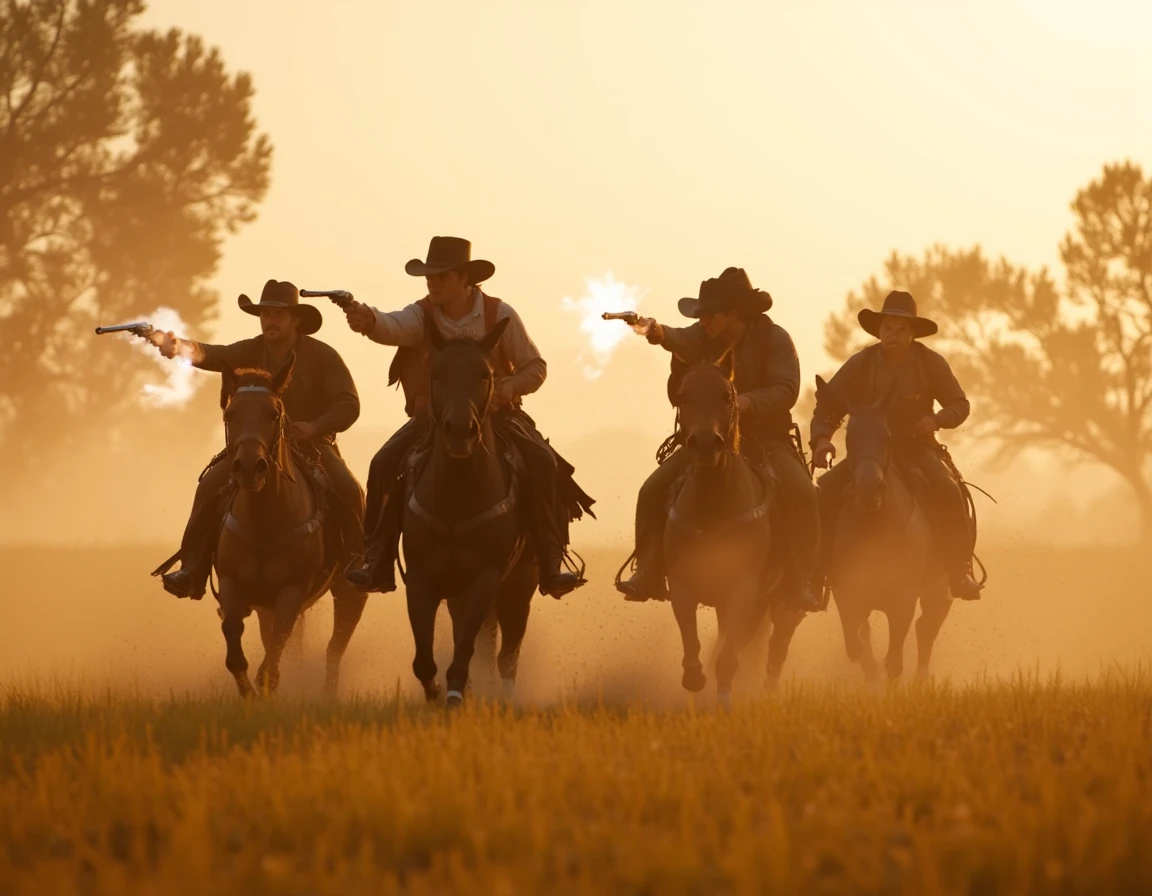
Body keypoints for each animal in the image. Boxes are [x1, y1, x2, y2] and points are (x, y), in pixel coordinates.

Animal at [213, 357, 364, 700]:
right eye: (230, 414)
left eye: (273, 413)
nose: (249, 468)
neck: (265, 524)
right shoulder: (232, 585)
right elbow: (234, 641)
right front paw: (249, 695)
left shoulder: (291, 594)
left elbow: (271, 662)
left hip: (349, 594)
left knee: (335, 646)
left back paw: (328, 695)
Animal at [398, 317, 536, 709]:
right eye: (437, 373)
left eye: (485, 375)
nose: (460, 430)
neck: (456, 499)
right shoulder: (422, 577)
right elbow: (424, 657)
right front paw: (434, 691)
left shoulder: (486, 579)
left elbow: (466, 651)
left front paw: (456, 693)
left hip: (519, 588)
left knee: (507, 654)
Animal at [668, 352, 801, 700]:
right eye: (683, 396)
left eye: (727, 397)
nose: (704, 443)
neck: (712, 508)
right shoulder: (682, 584)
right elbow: (692, 647)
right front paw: (695, 678)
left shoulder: (743, 589)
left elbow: (728, 659)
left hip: (783, 605)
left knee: (777, 644)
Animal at [820, 377, 953, 677]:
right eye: (849, 438)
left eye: (887, 437)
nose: (869, 490)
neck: (875, 529)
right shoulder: (847, 593)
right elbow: (859, 647)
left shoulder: (903, 600)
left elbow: (894, 661)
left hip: (939, 589)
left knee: (928, 628)